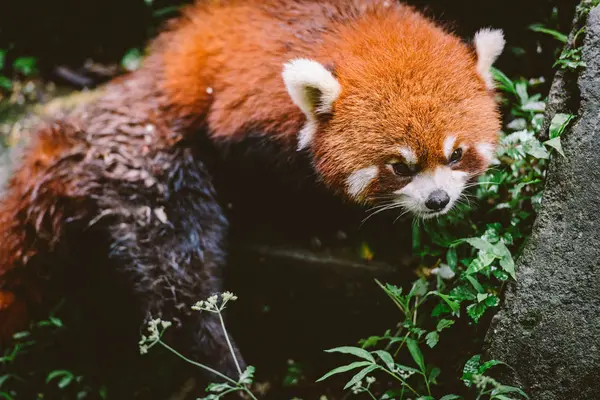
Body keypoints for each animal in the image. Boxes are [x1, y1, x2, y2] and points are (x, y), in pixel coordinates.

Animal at [0, 0, 504, 376]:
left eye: (456, 154)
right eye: (400, 166)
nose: (437, 201)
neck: (357, 30)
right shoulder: (247, 112)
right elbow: (264, 182)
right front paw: (320, 226)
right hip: (150, 161)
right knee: (178, 265)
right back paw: (221, 358)